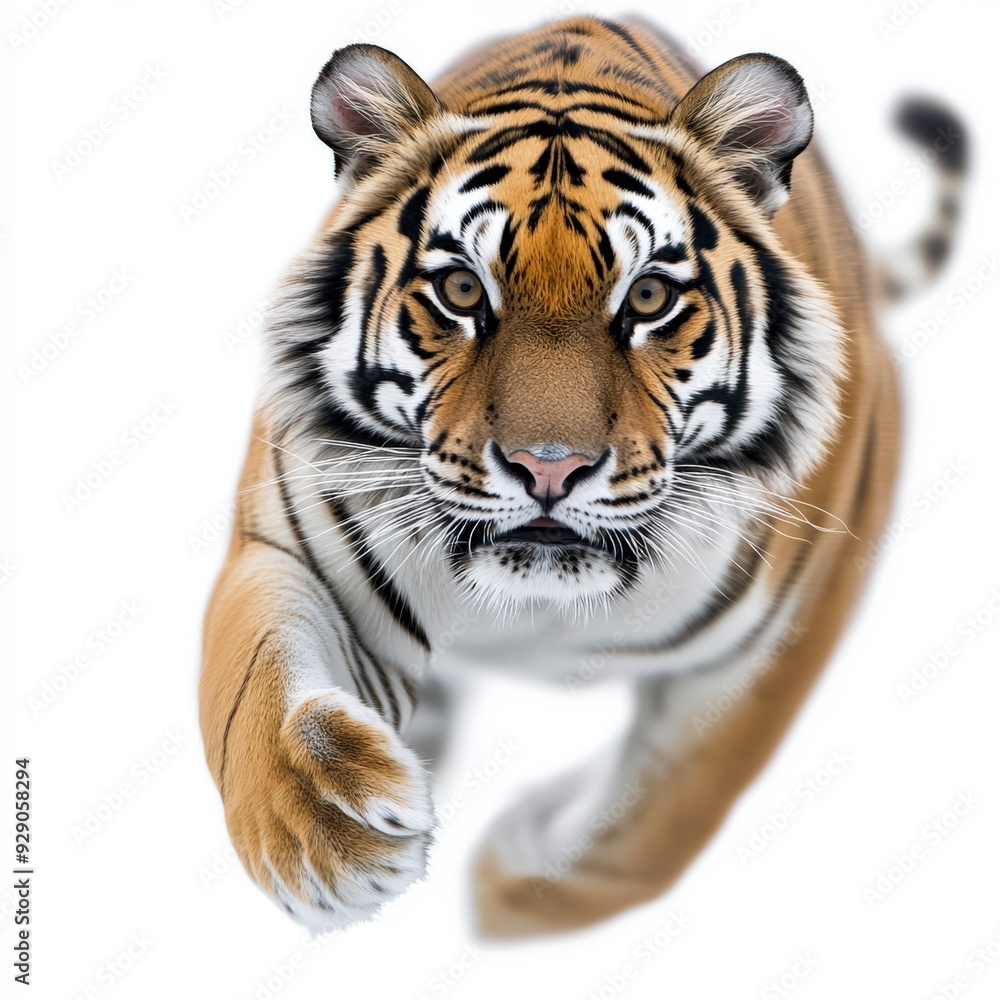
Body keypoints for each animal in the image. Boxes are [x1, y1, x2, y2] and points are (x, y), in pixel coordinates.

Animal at [199, 16, 966, 937]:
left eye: (649, 299)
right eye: (461, 290)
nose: (548, 467)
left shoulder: (784, 629)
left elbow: (669, 806)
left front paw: (513, 890)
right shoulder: (287, 547)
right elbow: (254, 686)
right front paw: (326, 832)